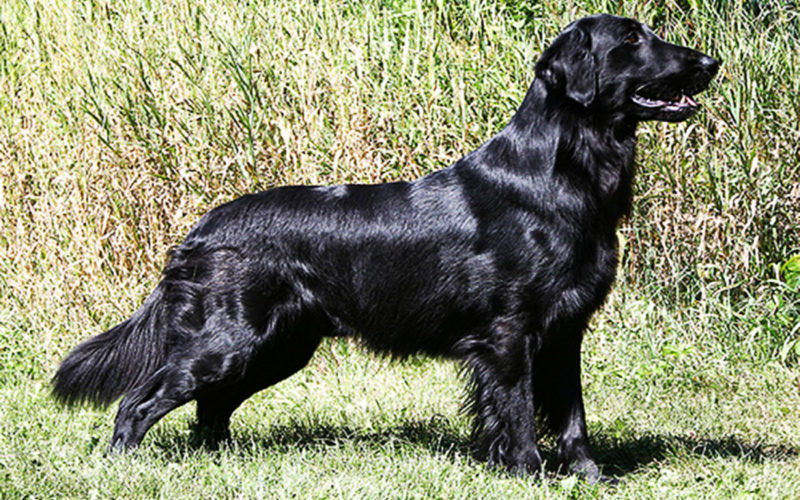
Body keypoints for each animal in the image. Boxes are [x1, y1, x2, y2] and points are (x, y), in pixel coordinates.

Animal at [56, 15, 720, 482]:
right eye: (630, 39)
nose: (710, 61)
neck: (560, 174)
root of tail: (199, 229)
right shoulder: (510, 332)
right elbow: (518, 413)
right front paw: (528, 474)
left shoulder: (564, 330)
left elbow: (574, 416)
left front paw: (589, 477)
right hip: (227, 343)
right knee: (136, 404)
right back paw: (123, 468)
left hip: (278, 346)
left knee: (210, 409)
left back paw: (218, 465)